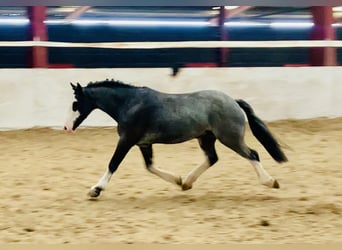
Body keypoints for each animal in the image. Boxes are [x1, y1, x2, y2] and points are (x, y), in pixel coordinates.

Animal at [63, 79, 286, 198]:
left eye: (75, 103)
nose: (66, 128)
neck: (130, 104)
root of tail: (234, 101)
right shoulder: (144, 143)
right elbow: (150, 166)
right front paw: (177, 180)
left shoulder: (126, 140)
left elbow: (113, 164)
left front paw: (95, 190)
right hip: (206, 138)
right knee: (212, 158)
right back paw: (187, 182)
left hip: (230, 138)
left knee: (253, 154)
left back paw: (270, 181)